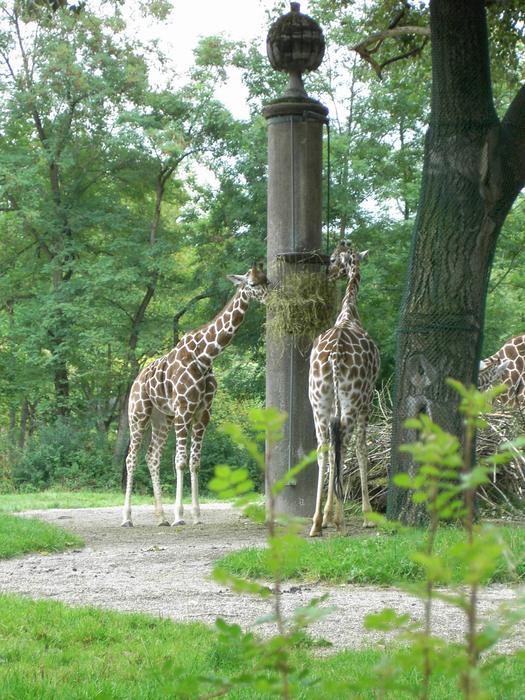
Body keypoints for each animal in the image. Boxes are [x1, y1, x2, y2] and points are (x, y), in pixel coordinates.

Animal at [121, 264, 269, 527]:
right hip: (138, 414)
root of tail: (136, 380)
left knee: (152, 456)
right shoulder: (184, 410)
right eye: (252, 284)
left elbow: (195, 462)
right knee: (131, 458)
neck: (205, 356)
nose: (270, 298)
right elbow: (180, 461)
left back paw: (161, 518)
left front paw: (197, 516)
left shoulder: (203, 414)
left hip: (162, 418)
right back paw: (127, 518)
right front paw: (180, 516)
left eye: (267, 280)